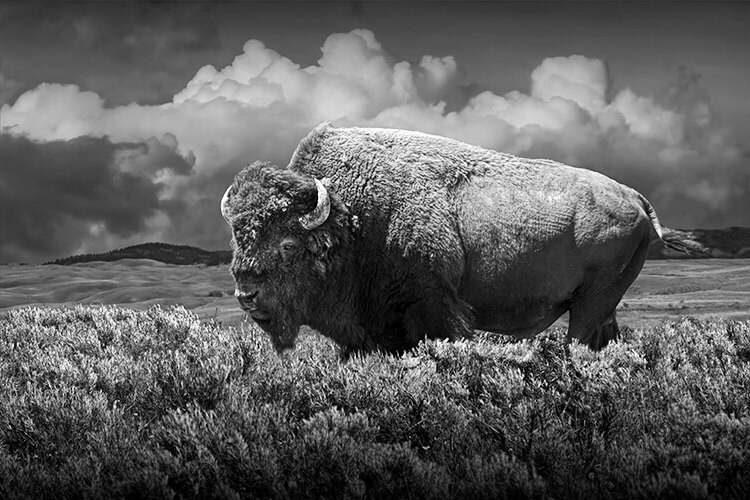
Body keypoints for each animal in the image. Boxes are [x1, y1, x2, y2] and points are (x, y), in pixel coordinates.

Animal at [220, 122, 692, 355]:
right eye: (237, 241)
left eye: (287, 244)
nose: (246, 294)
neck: (349, 215)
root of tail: (635, 197)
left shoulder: (435, 306)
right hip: (600, 306)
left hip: (591, 305)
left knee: (582, 340)